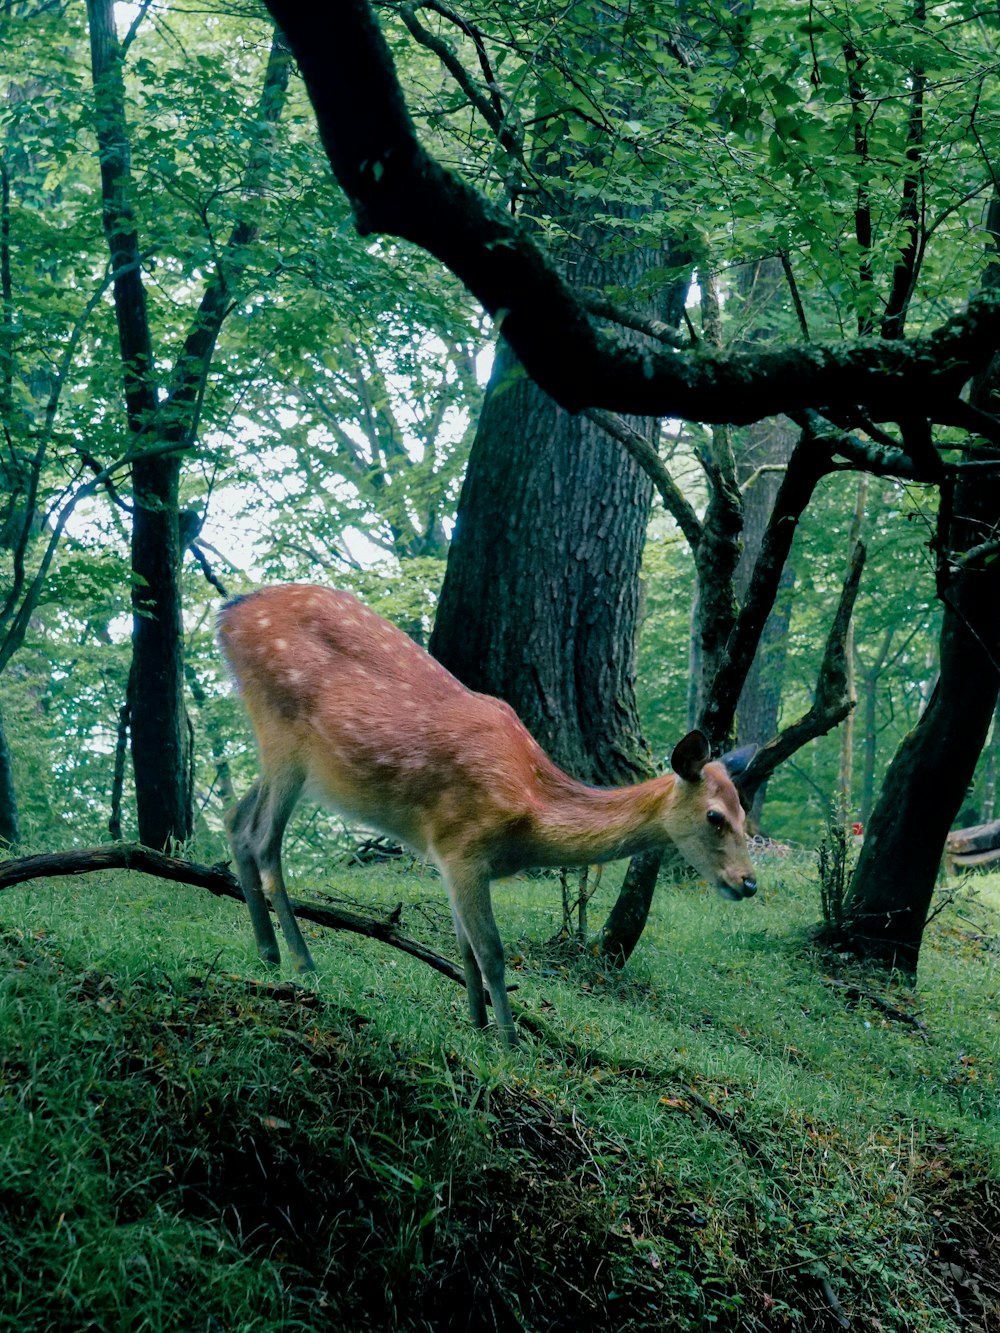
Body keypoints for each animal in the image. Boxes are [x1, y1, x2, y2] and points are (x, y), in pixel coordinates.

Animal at [218, 583, 757, 1039]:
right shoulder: (462, 845)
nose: (748, 882)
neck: (530, 819)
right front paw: (508, 1042)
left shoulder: (451, 859)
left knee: (235, 820)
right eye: (714, 816)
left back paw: (267, 952)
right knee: (264, 839)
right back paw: (301, 960)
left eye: (745, 815)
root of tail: (228, 614)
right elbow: (493, 953)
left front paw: (477, 1026)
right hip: (286, 732)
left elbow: (466, 950)